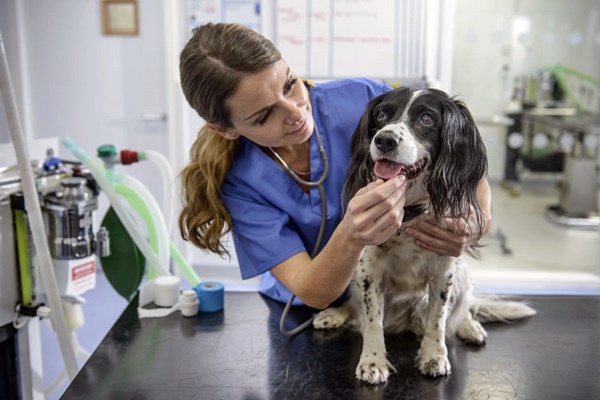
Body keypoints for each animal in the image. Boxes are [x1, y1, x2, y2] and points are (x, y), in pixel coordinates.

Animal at [314, 86, 536, 384]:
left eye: (427, 119)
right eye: (381, 113)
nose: (384, 140)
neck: (409, 210)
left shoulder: (445, 269)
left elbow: (437, 320)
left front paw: (434, 356)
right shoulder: (368, 269)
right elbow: (372, 321)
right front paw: (372, 361)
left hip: (463, 273)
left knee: (464, 309)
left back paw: (470, 327)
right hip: (354, 275)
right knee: (356, 307)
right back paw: (334, 314)